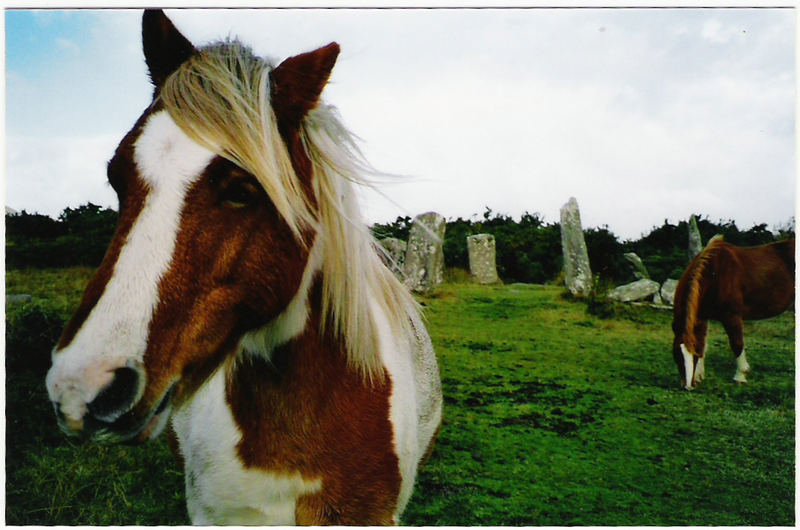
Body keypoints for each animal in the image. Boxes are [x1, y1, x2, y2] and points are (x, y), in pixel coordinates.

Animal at [668, 235, 792, 388]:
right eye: (677, 355)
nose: (688, 386)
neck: (714, 276)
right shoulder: (702, 317)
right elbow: (703, 343)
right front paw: (698, 376)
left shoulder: (732, 316)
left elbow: (737, 344)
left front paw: (740, 376)